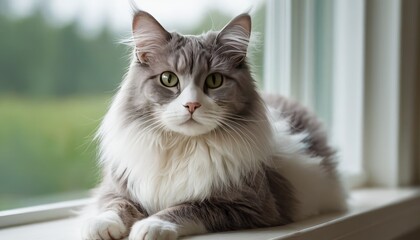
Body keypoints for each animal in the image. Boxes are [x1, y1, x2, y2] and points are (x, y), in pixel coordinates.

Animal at [81, 10, 348, 240]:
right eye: (168, 79)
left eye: (214, 80)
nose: (191, 105)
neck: (183, 146)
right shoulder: (117, 187)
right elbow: (115, 205)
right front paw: (100, 226)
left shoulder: (249, 205)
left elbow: (187, 208)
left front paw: (152, 225)